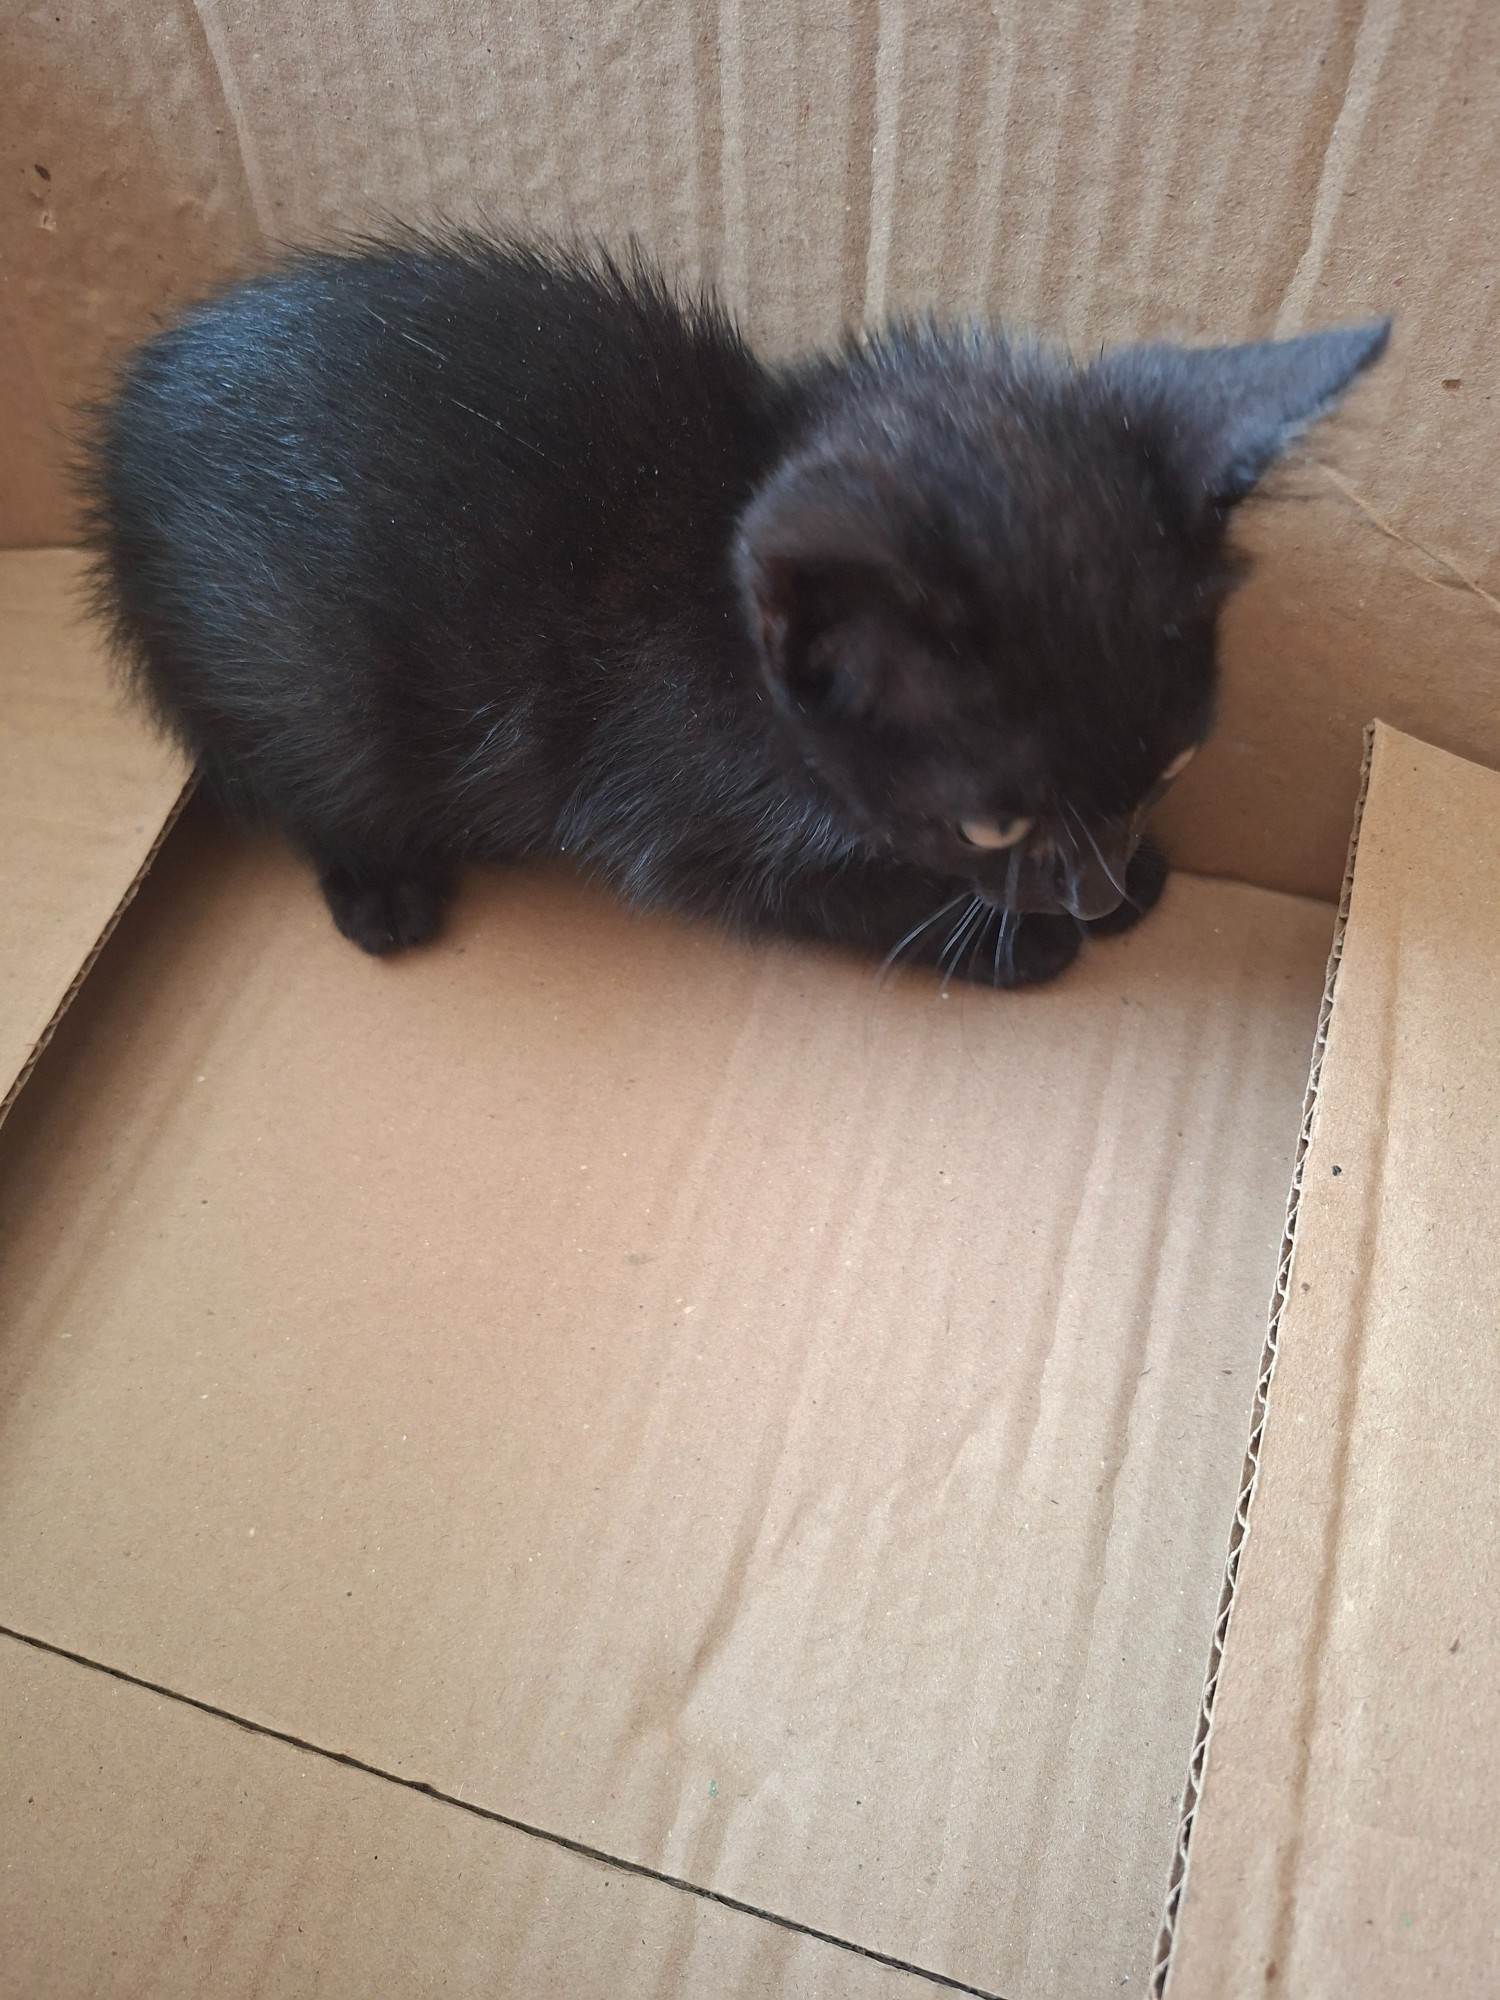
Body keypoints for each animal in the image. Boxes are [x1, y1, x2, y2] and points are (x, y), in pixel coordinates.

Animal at [80, 231, 1388, 987]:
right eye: (989, 826)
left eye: (1173, 767)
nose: (1104, 892)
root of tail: (118, 449)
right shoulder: (669, 818)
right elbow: (818, 891)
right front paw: (1015, 938)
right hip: (304, 685)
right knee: (305, 772)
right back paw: (379, 888)